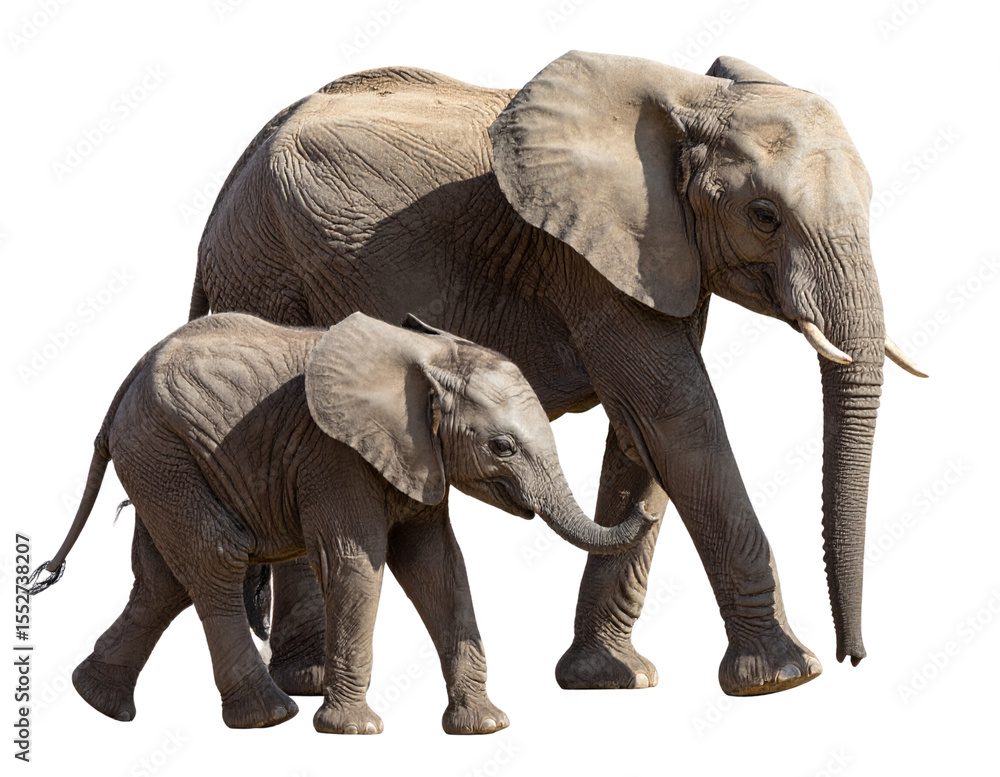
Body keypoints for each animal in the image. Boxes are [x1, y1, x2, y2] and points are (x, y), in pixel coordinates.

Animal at [29, 311, 656, 733]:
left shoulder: (417, 458)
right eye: (502, 447)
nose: (647, 501)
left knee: (166, 580)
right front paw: (354, 731)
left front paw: (484, 726)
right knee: (216, 557)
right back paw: (270, 717)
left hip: (162, 457)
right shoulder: (334, 455)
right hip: (160, 447)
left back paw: (97, 701)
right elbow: (356, 564)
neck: (424, 357)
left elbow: (438, 568)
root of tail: (123, 387)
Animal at [192, 50, 926, 697]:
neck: (694, 99)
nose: (854, 656)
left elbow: (640, 434)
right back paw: (308, 683)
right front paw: (784, 677)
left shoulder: (656, 256)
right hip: (265, 271)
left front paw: (609, 679)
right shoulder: (583, 257)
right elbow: (677, 412)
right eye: (764, 216)